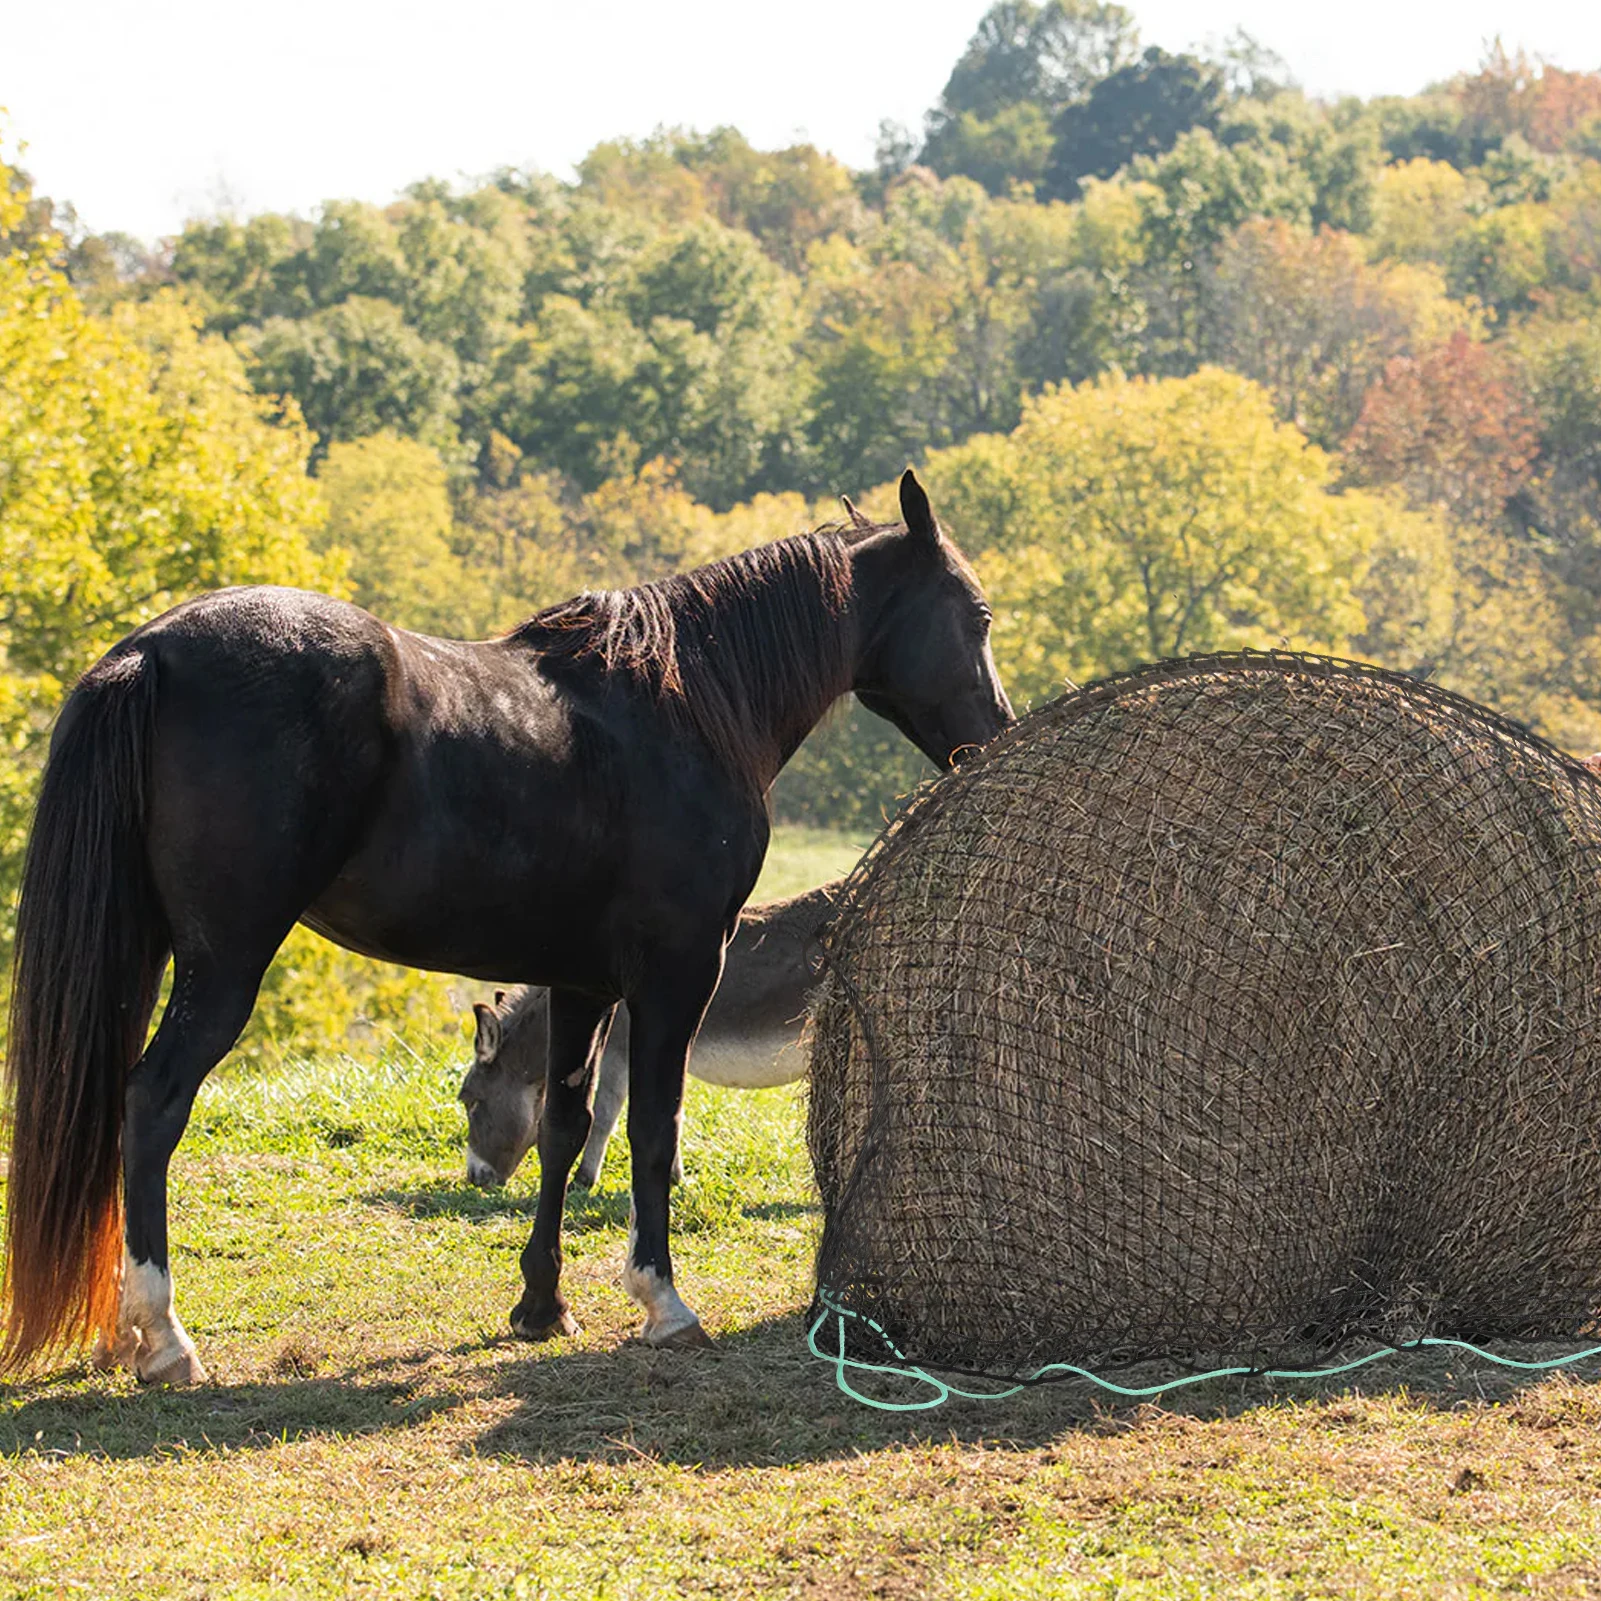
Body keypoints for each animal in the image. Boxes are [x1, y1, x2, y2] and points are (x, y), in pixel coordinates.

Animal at [461, 879, 839, 1191]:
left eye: (470, 1101)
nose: (475, 1179)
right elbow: (673, 1111)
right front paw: (674, 1176)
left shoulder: (620, 1052)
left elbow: (605, 1114)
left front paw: (583, 1181)